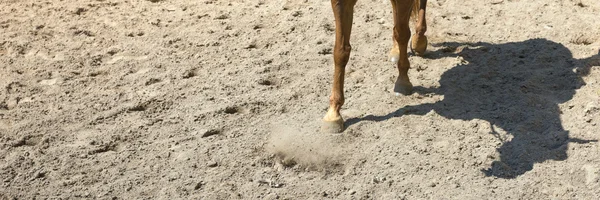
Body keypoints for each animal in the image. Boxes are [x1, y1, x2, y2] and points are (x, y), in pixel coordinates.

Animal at [322, 0, 428, 133]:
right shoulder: (341, 3)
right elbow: (341, 51)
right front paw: (333, 114)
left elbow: (402, 33)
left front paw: (403, 81)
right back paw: (396, 50)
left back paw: (419, 40)